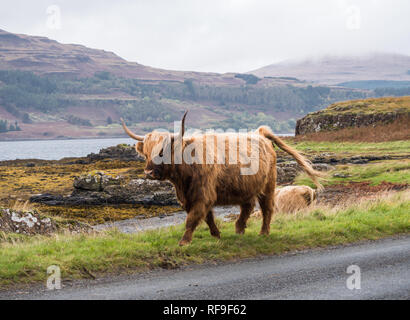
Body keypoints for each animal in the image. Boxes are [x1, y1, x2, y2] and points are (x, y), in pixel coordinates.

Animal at [121, 112, 324, 245]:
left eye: (162, 152)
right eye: (146, 153)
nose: (148, 173)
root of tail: (259, 133)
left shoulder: (204, 194)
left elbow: (193, 218)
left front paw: (183, 242)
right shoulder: (190, 197)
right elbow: (207, 217)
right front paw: (216, 234)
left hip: (268, 184)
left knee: (267, 208)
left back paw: (263, 233)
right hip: (246, 186)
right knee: (247, 206)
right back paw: (239, 228)